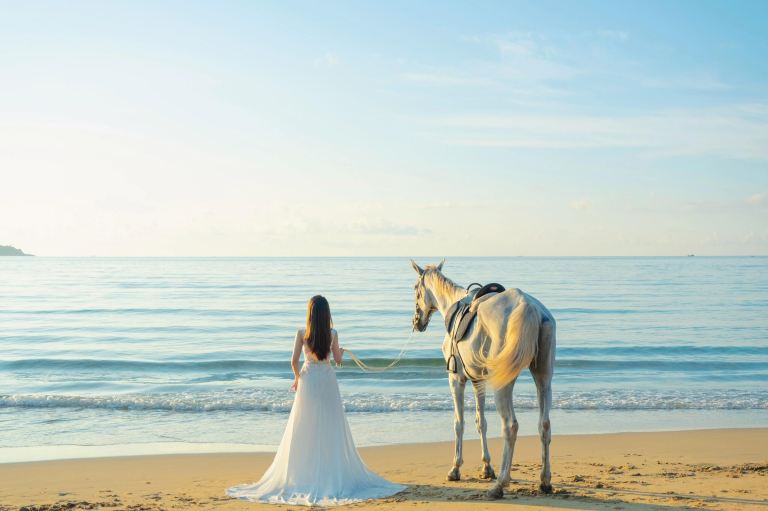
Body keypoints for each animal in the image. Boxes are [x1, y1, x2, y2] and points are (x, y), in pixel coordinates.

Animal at [410, 259, 556, 499]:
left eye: (415, 289)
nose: (416, 322)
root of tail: (529, 308)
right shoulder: (478, 381)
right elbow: (481, 422)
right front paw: (487, 467)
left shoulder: (456, 379)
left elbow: (459, 423)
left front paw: (455, 468)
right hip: (543, 377)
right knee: (544, 425)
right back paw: (544, 481)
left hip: (504, 384)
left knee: (510, 426)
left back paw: (500, 485)